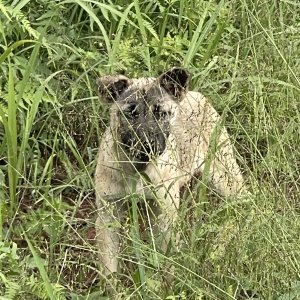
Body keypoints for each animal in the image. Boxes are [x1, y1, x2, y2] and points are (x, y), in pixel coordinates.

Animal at [95, 67, 247, 282]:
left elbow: (166, 260)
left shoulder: (165, 214)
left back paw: (220, 246)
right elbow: (109, 266)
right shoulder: (109, 213)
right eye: (130, 113)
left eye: (162, 113)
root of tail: (196, 95)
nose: (147, 143)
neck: (137, 169)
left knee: (243, 204)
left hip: (224, 175)